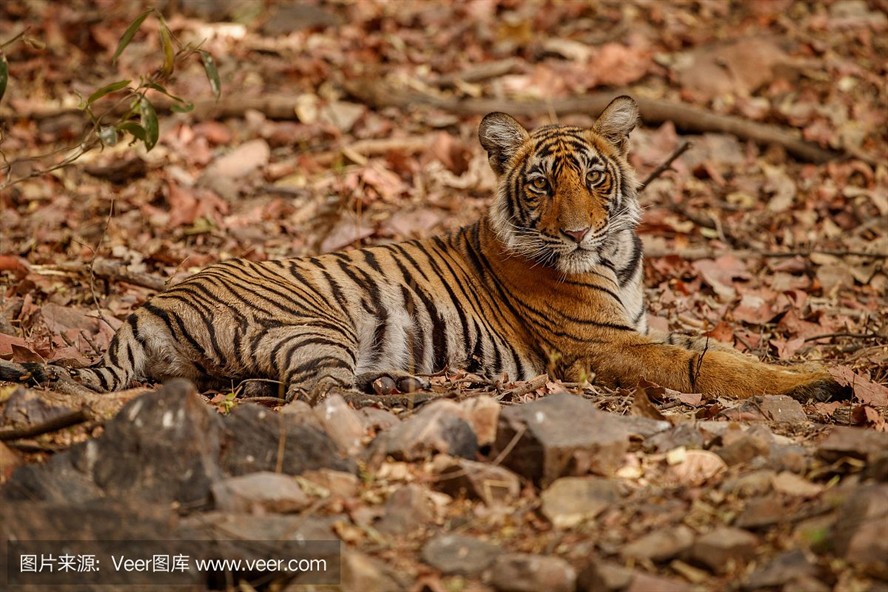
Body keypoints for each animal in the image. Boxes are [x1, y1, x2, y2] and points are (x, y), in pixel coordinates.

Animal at [65, 96, 846, 402]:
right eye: (540, 184)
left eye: (594, 177)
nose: (577, 232)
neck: (615, 255)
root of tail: (149, 303)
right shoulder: (604, 346)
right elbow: (710, 366)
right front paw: (817, 380)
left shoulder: (634, 325)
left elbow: (719, 348)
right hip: (314, 324)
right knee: (310, 396)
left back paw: (406, 385)